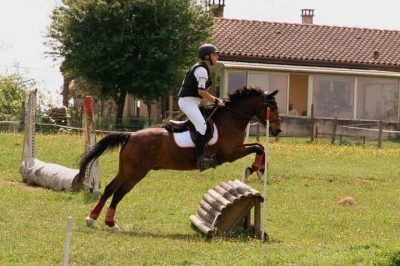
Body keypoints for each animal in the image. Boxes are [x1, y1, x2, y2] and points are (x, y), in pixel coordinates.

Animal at [72, 87, 280, 229]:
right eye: (271, 106)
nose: (278, 130)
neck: (229, 120)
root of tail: (130, 136)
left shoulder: (236, 150)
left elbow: (260, 147)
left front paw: (259, 169)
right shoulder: (230, 154)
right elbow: (258, 147)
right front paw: (254, 168)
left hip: (126, 170)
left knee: (109, 189)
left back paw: (92, 218)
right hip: (136, 173)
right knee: (118, 193)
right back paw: (110, 222)